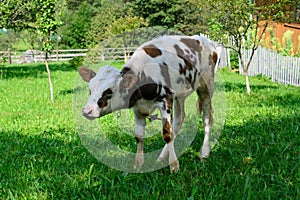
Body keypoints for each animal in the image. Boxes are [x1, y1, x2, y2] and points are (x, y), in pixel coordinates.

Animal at [78, 35, 217, 173]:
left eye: (108, 92)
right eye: (90, 90)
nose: (86, 111)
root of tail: (201, 38)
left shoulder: (165, 101)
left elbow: (167, 134)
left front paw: (174, 166)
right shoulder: (138, 108)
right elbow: (139, 136)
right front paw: (138, 164)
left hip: (206, 86)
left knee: (207, 118)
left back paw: (204, 153)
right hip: (179, 95)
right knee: (179, 119)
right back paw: (161, 157)